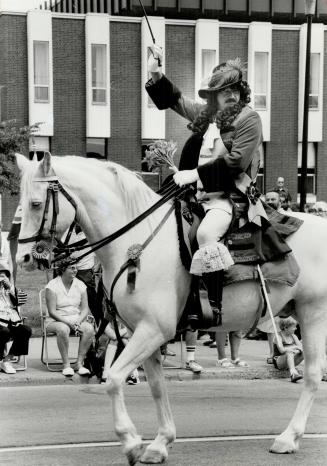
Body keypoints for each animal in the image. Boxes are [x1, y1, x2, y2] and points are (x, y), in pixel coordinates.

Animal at [16, 153, 327, 462]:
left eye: (35, 203)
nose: (24, 258)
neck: (136, 241)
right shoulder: (142, 332)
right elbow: (156, 386)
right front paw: (159, 443)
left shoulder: (154, 329)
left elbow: (114, 378)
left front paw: (130, 441)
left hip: (313, 313)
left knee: (313, 374)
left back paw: (288, 437)